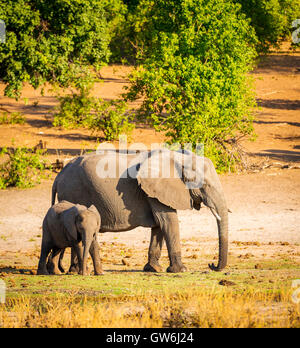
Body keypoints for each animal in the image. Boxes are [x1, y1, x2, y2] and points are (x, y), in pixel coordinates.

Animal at [52, 148, 230, 274]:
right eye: (205, 185)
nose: (211, 265)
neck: (179, 159)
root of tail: (59, 175)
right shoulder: (154, 189)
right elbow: (168, 220)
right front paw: (181, 270)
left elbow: (159, 224)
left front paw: (154, 269)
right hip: (74, 192)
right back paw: (77, 271)